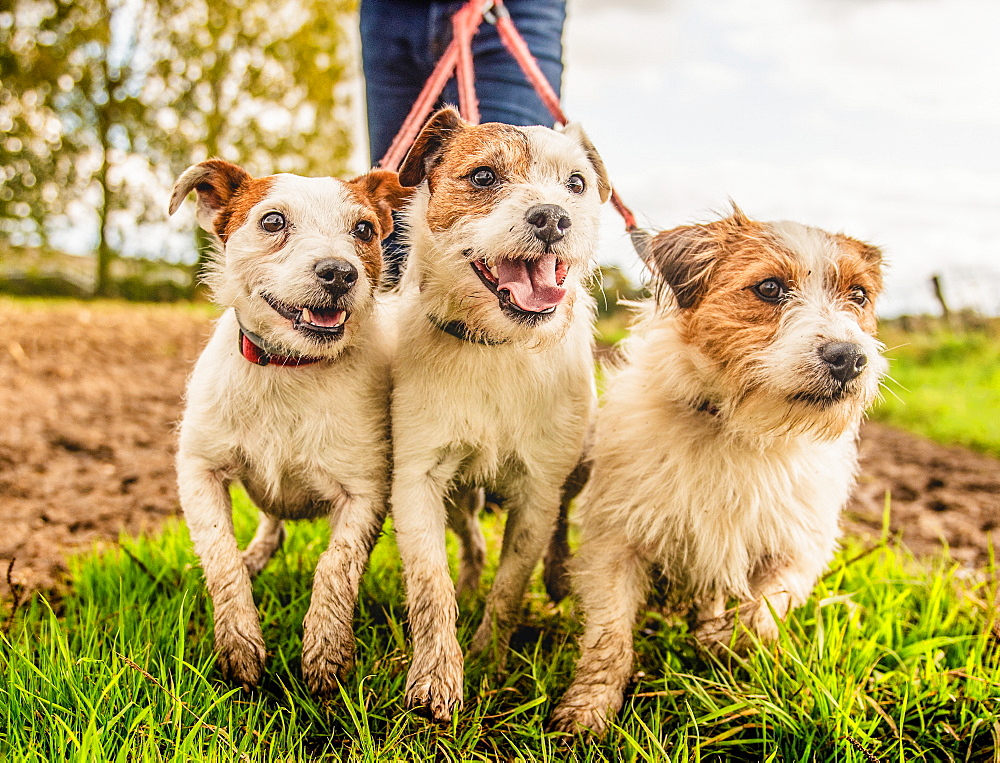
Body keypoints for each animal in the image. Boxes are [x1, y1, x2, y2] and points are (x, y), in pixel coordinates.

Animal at [170, 161, 408, 700]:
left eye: (365, 230)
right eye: (273, 221)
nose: (339, 272)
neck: (290, 367)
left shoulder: (364, 494)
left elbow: (336, 567)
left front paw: (325, 652)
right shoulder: (199, 471)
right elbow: (220, 555)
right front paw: (239, 644)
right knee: (269, 525)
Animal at [388, 107, 608, 724]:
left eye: (576, 184)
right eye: (484, 177)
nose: (553, 217)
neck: (495, 345)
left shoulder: (538, 491)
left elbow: (511, 584)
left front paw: (490, 655)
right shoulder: (416, 479)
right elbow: (429, 585)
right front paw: (437, 675)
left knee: (560, 526)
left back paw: (557, 575)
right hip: (458, 494)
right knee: (469, 541)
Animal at [552, 207, 888, 736]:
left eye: (858, 296)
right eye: (769, 288)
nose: (850, 358)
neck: (736, 429)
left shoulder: (794, 550)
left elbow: (759, 616)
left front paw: (720, 643)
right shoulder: (616, 544)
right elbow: (610, 637)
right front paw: (588, 709)